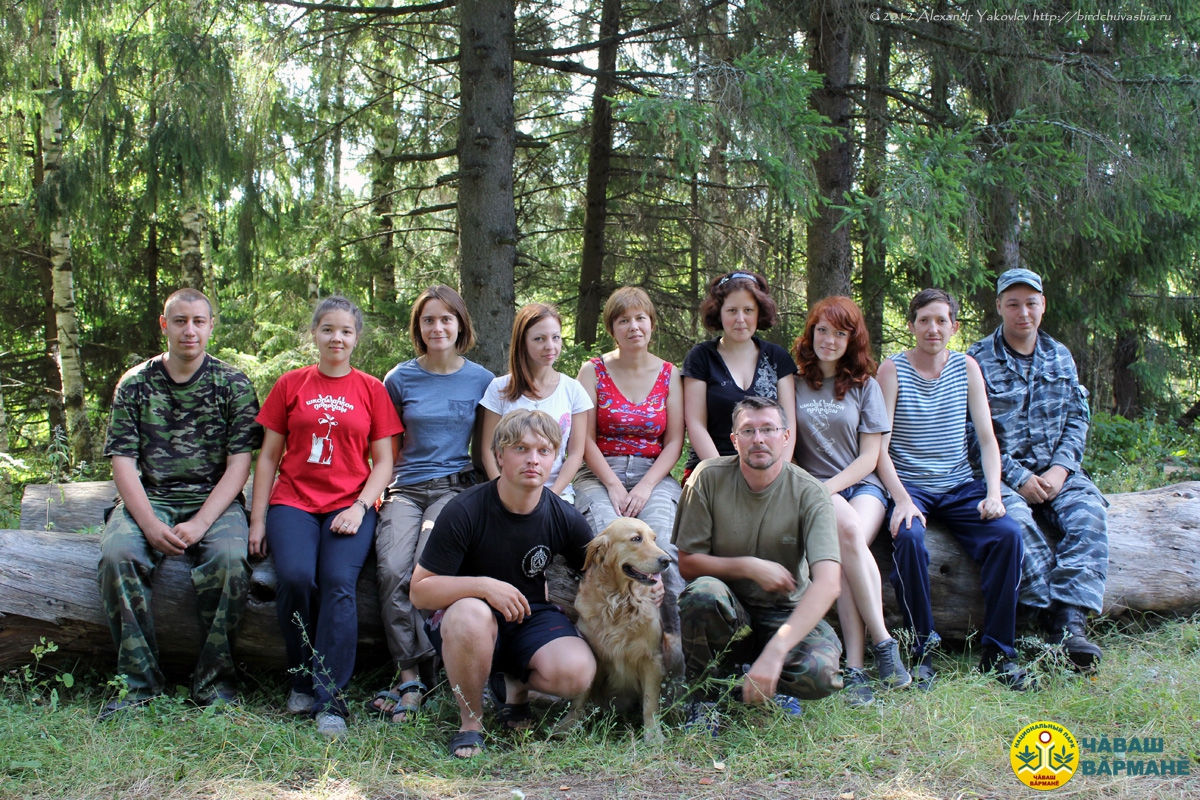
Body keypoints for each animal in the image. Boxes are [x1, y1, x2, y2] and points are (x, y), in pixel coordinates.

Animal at [556, 520, 681, 743]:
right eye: (636, 538)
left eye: (654, 539)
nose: (666, 560)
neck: (620, 601)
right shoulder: (593, 654)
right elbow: (580, 696)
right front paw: (569, 724)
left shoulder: (652, 659)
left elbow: (650, 702)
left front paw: (653, 735)